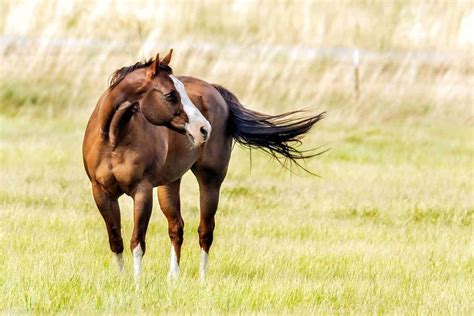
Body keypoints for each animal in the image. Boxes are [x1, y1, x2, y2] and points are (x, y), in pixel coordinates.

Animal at [82, 49, 326, 282]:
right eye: (170, 95)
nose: (203, 129)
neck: (115, 139)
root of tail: (216, 91)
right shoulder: (101, 192)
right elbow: (116, 239)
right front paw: (122, 279)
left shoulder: (142, 191)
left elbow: (137, 240)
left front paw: (136, 283)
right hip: (170, 183)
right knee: (176, 227)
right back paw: (173, 277)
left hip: (210, 180)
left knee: (205, 231)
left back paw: (202, 279)